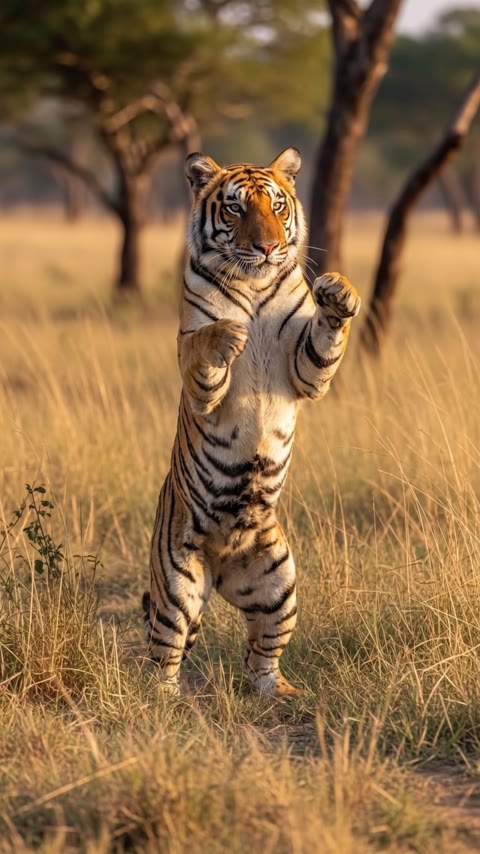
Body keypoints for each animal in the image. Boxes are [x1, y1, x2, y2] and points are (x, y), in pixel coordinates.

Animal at [143, 147, 360, 697]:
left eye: (277, 207)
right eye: (236, 209)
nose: (267, 247)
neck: (255, 281)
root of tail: (220, 570)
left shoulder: (304, 369)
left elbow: (325, 342)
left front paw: (339, 291)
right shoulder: (196, 370)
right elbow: (204, 343)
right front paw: (228, 333)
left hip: (279, 585)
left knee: (259, 653)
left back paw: (281, 693)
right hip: (175, 584)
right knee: (162, 653)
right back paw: (163, 700)